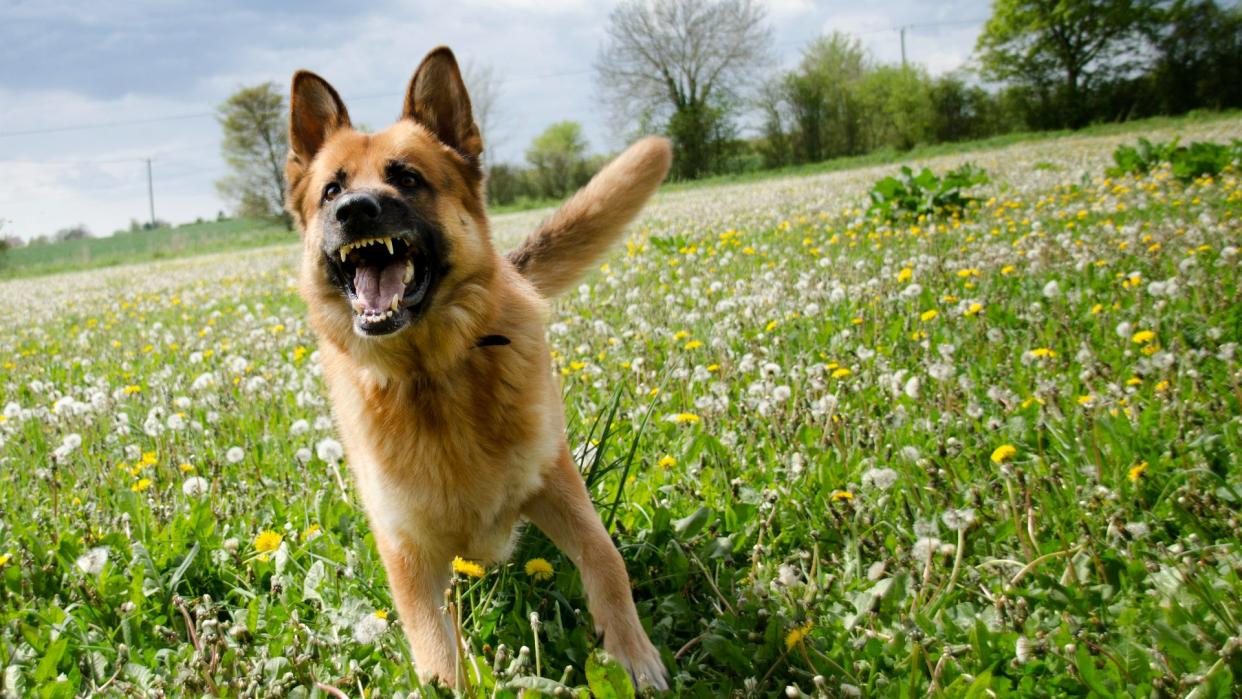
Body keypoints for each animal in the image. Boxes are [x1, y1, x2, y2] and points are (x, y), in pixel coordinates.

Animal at [284, 46, 670, 690]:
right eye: (331, 189)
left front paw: (634, 657)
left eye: (406, 178)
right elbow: (437, 654)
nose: (354, 211)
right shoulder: (409, 552)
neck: (432, 376)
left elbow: (605, 558)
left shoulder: (556, 483)